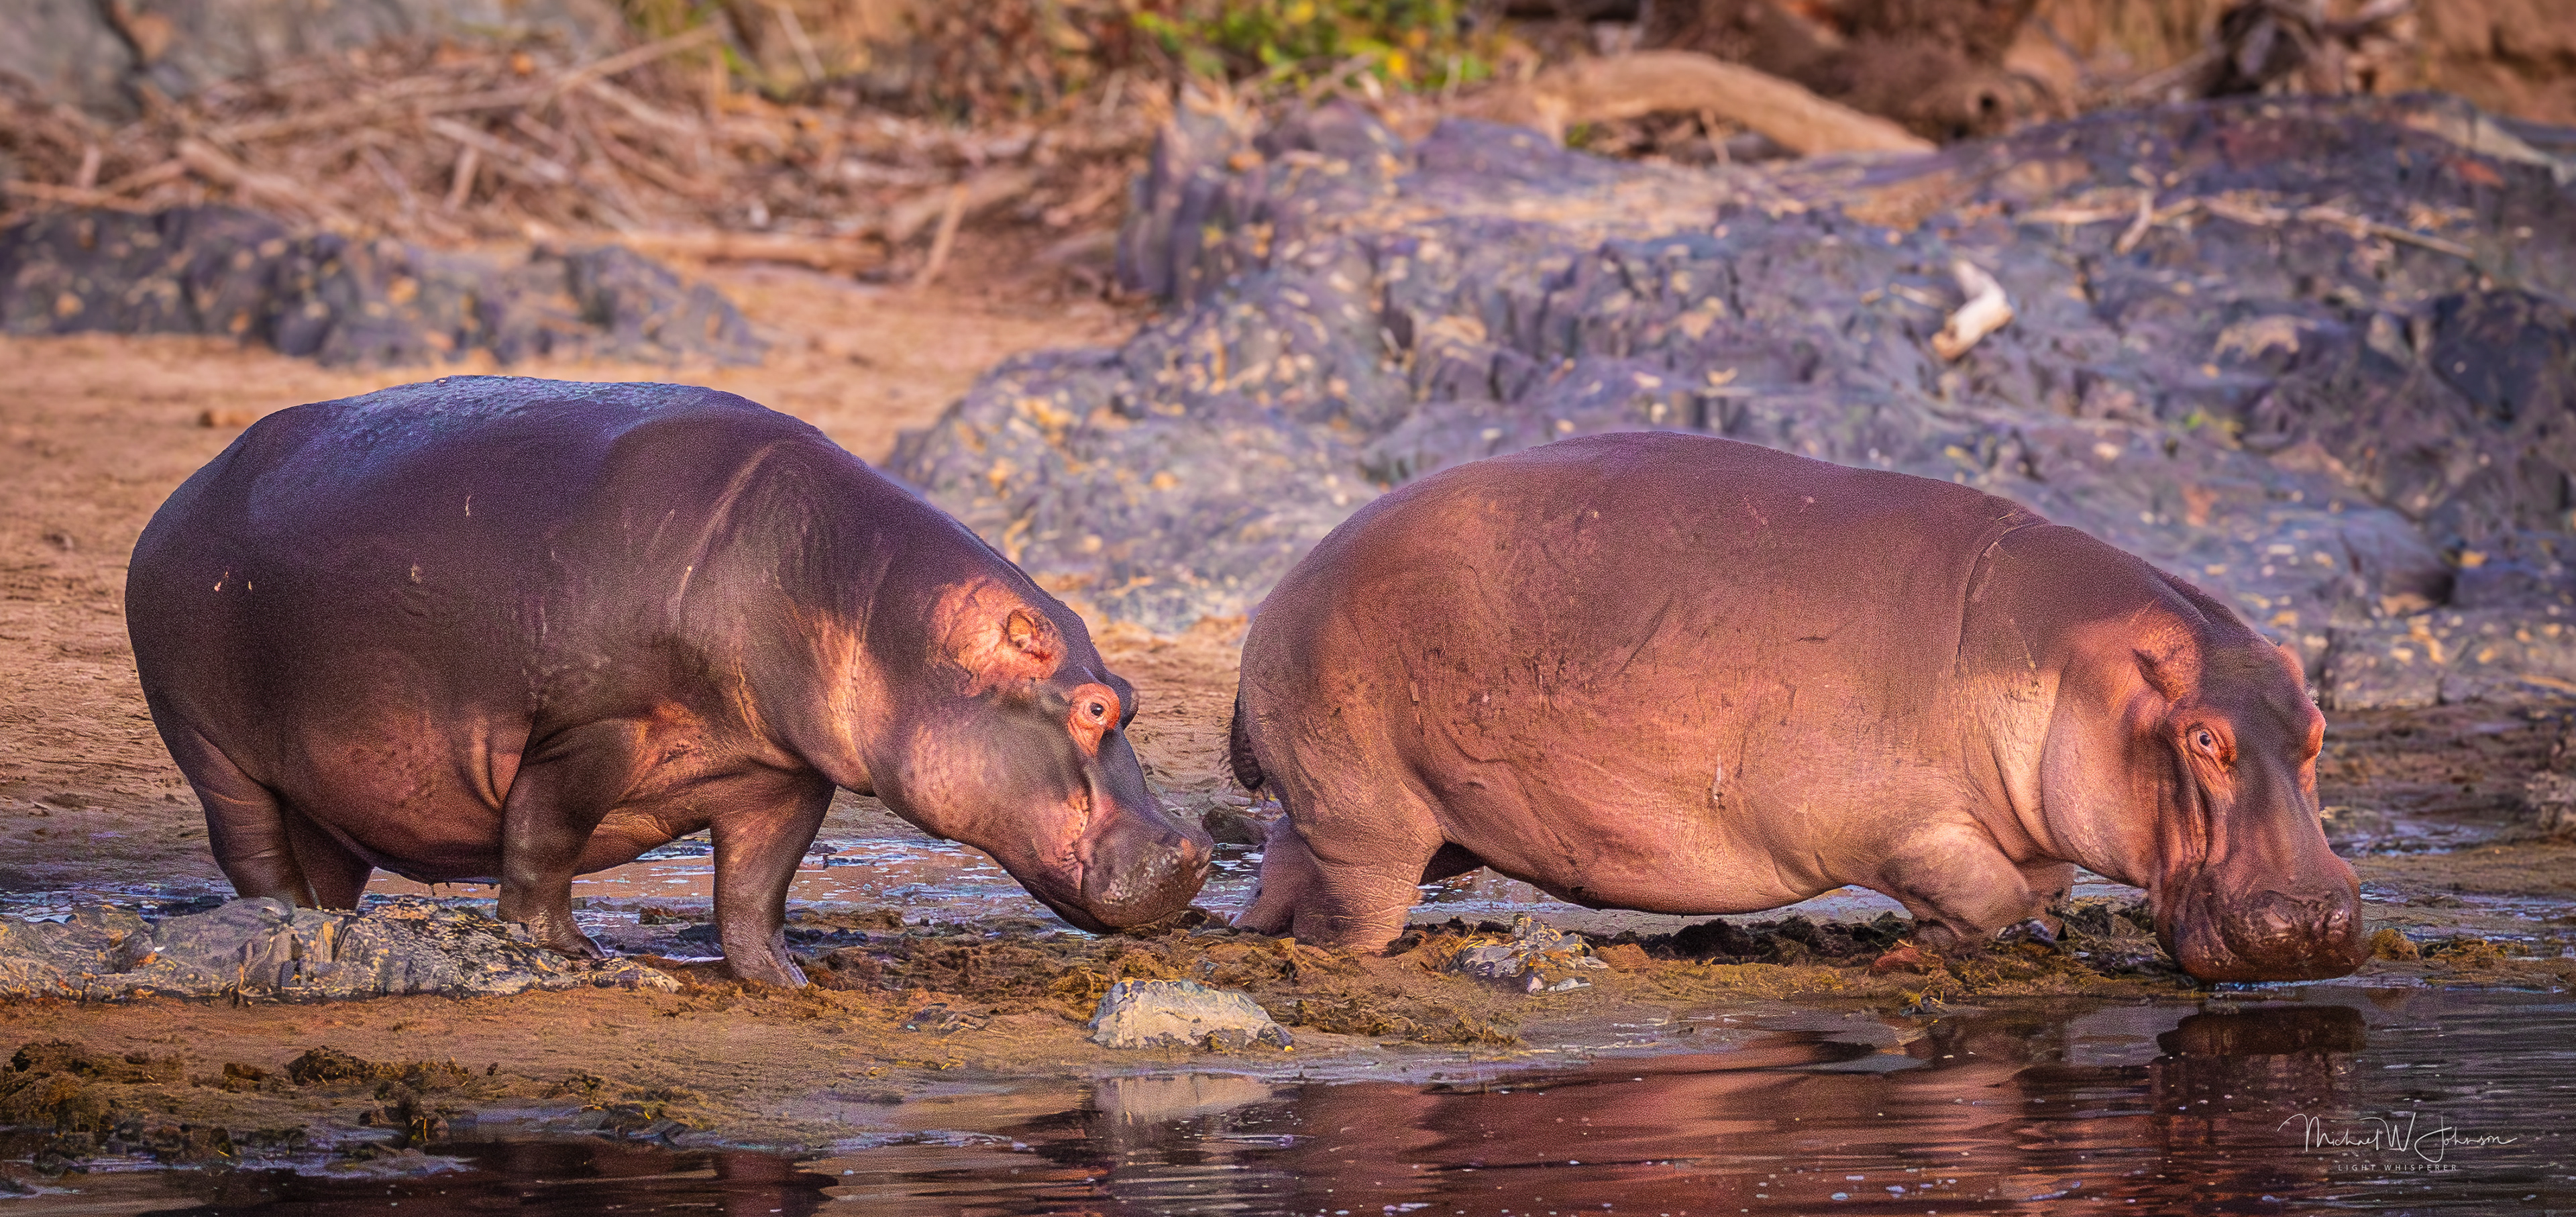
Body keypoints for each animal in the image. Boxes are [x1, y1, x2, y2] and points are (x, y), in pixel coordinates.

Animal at [127, 377, 1211, 985]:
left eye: (1131, 698)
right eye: (1094, 706)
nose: (1193, 851)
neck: (864, 598)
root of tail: (181, 494)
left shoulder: (783, 774)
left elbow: (757, 889)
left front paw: (790, 980)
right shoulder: (590, 729)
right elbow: (543, 845)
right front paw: (570, 955)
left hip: (325, 779)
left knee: (328, 864)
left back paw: (331, 932)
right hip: (211, 746)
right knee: (253, 853)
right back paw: (276, 925)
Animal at [1229, 432, 2367, 982]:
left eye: (2317, 730)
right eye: (2203, 736)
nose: (2314, 917)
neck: (2068, 658)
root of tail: (1281, 588)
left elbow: (2033, 887)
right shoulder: (1897, 824)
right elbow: (1987, 895)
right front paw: (1917, 950)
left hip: (1408, 816)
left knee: (1284, 865)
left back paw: (1245, 935)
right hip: (1369, 813)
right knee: (1349, 910)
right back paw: (1339, 964)